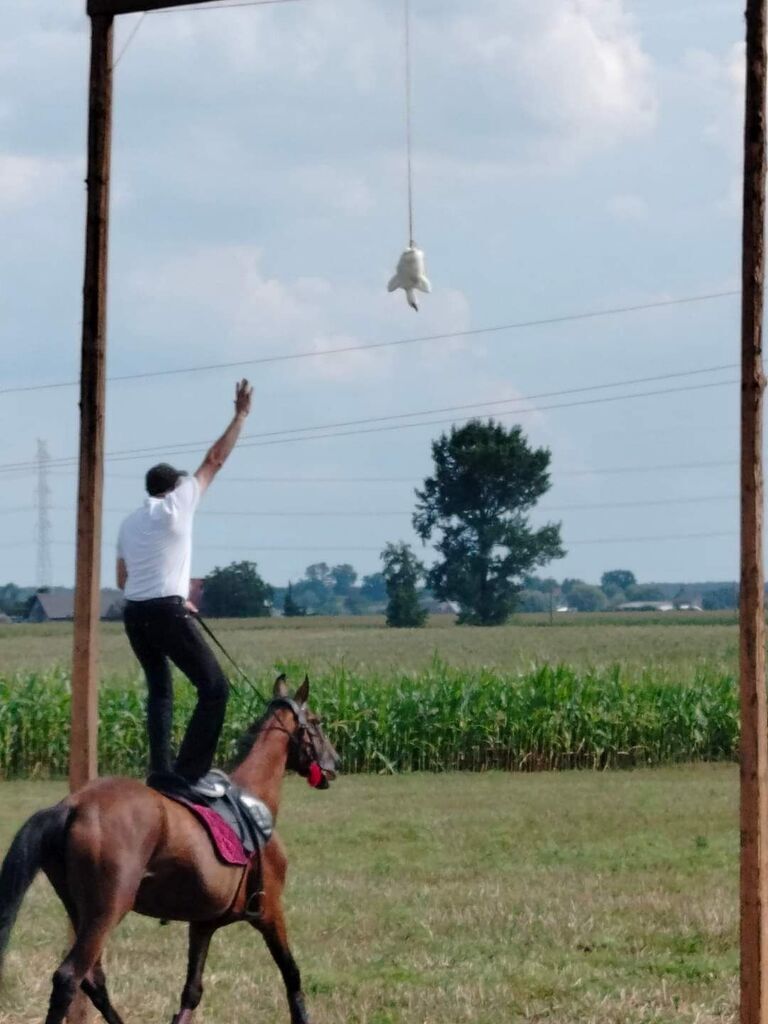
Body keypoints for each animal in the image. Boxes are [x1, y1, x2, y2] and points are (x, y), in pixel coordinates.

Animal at [0, 675, 339, 1019]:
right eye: (316, 722)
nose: (335, 762)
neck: (253, 798)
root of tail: (73, 805)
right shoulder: (269, 911)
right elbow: (292, 974)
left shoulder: (203, 924)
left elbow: (192, 992)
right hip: (107, 909)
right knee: (70, 976)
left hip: (79, 909)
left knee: (93, 980)